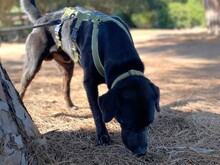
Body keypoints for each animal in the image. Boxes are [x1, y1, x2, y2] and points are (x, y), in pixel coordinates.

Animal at [21, 0, 160, 155]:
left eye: (148, 122)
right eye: (126, 123)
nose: (141, 152)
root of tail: (42, 19)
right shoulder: (89, 83)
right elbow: (97, 112)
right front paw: (103, 135)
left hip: (67, 67)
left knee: (65, 87)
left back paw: (70, 105)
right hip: (33, 64)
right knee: (23, 85)